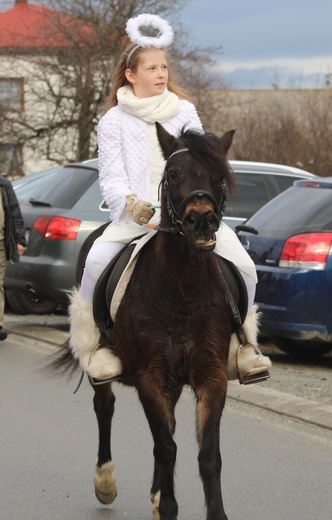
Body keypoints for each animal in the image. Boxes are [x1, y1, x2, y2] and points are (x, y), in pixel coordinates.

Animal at [55, 123, 236, 520]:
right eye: (173, 174)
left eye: (219, 176)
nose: (201, 220)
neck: (182, 288)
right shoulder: (149, 375)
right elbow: (165, 446)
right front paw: (166, 506)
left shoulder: (211, 375)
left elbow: (208, 455)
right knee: (105, 407)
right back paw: (105, 483)